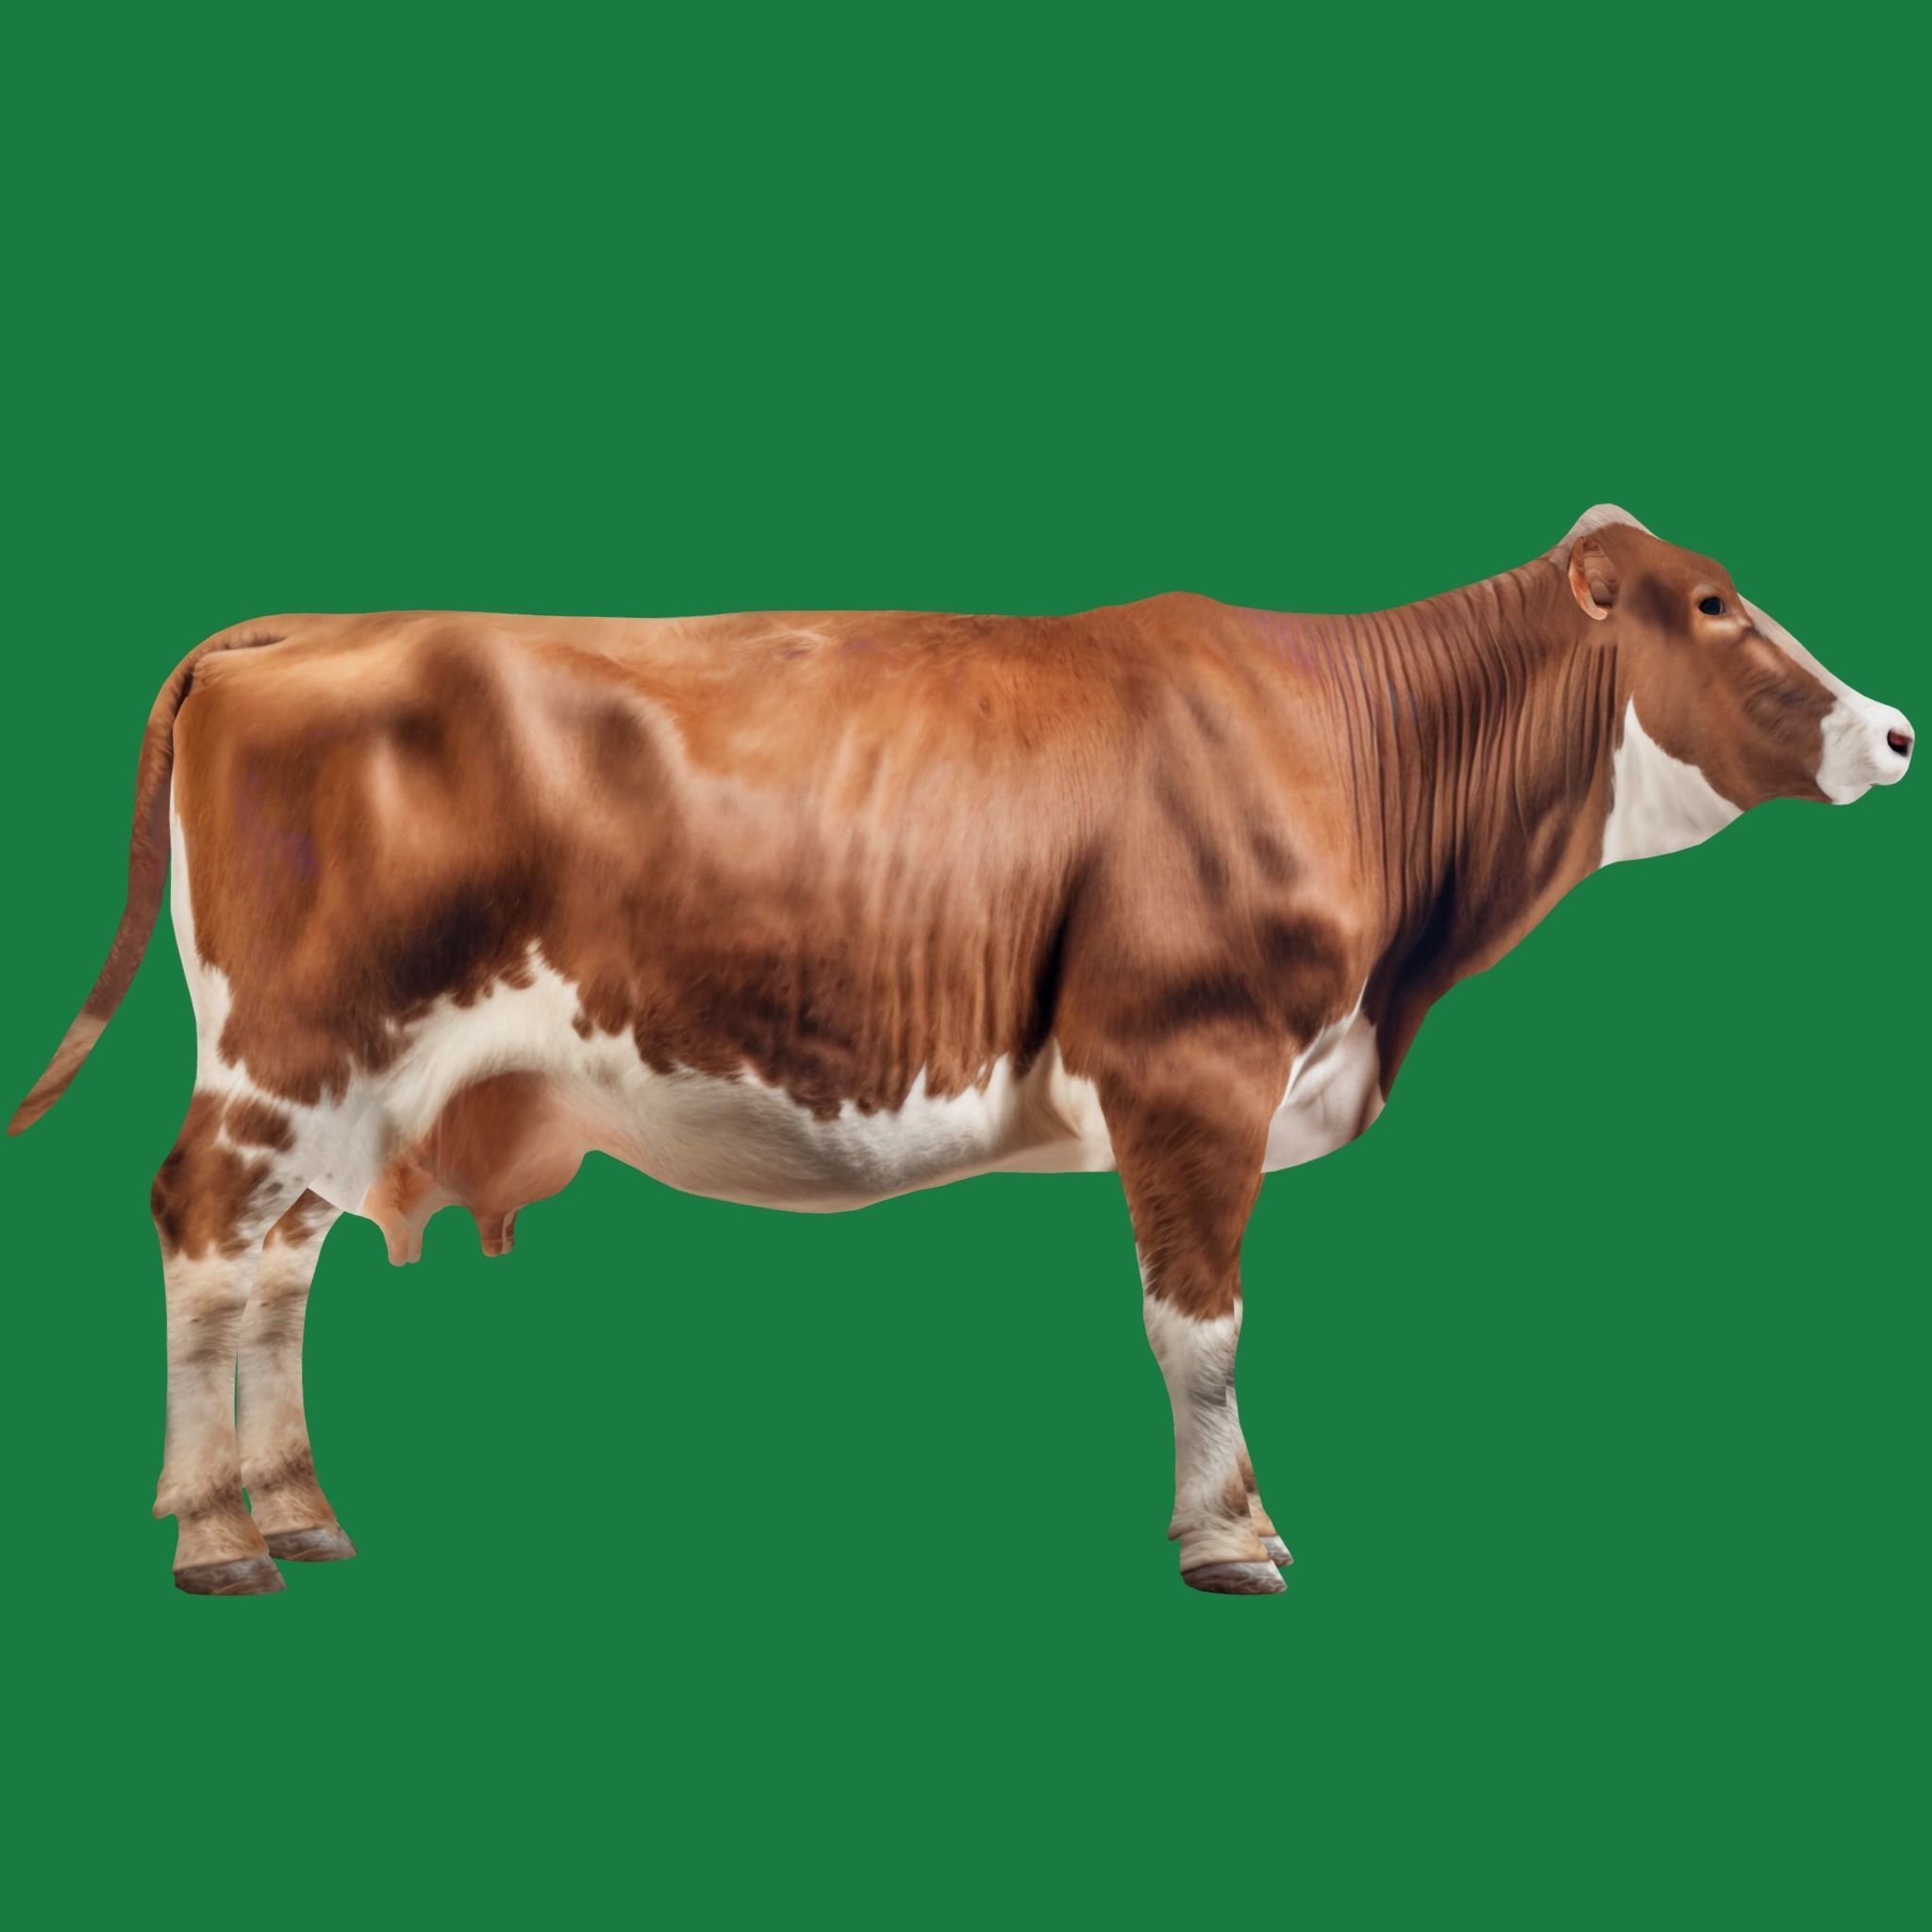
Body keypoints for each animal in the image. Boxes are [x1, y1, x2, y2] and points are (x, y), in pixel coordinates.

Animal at [9, 506, 1913, 1596]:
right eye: (1714, 604)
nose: (1894, 728)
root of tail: (298, 628)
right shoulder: (1191, 1063)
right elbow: (1198, 1326)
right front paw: (1232, 1536)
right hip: (293, 1051)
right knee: (200, 1227)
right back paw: (215, 1536)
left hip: (339, 1083)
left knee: (272, 1265)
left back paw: (294, 1511)